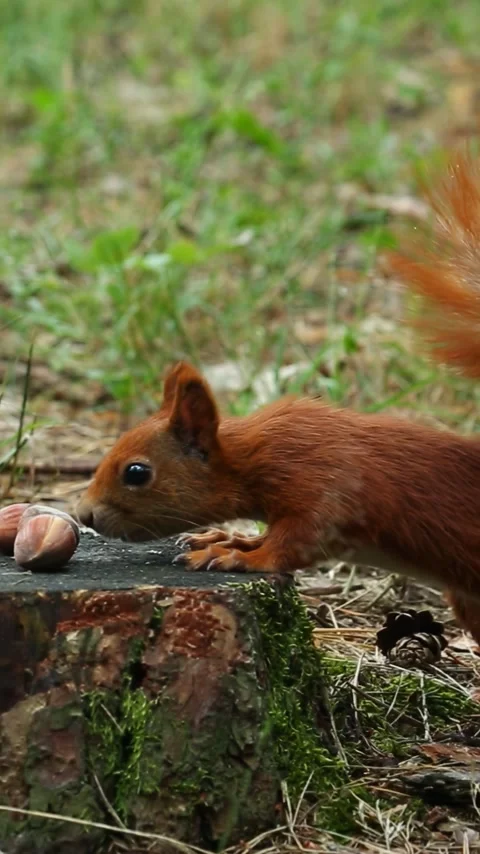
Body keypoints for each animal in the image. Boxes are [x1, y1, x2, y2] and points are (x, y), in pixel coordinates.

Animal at [77, 152, 480, 645]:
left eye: (136, 472)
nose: (84, 514)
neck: (256, 453)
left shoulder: (326, 483)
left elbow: (298, 540)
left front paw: (241, 557)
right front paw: (229, 540)